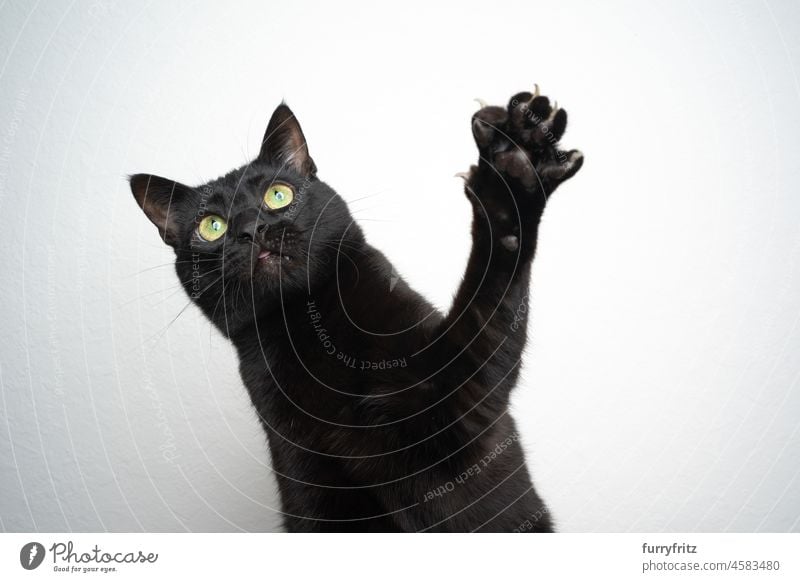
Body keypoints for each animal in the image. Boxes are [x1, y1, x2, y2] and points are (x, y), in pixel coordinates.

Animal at [130, 88, 580, 532]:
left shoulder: (461, 398)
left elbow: (492, 279)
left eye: (278, 195)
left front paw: (514, 162)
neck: (304, 327)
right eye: (211, 227)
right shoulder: (311, 488)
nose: (252, 230)